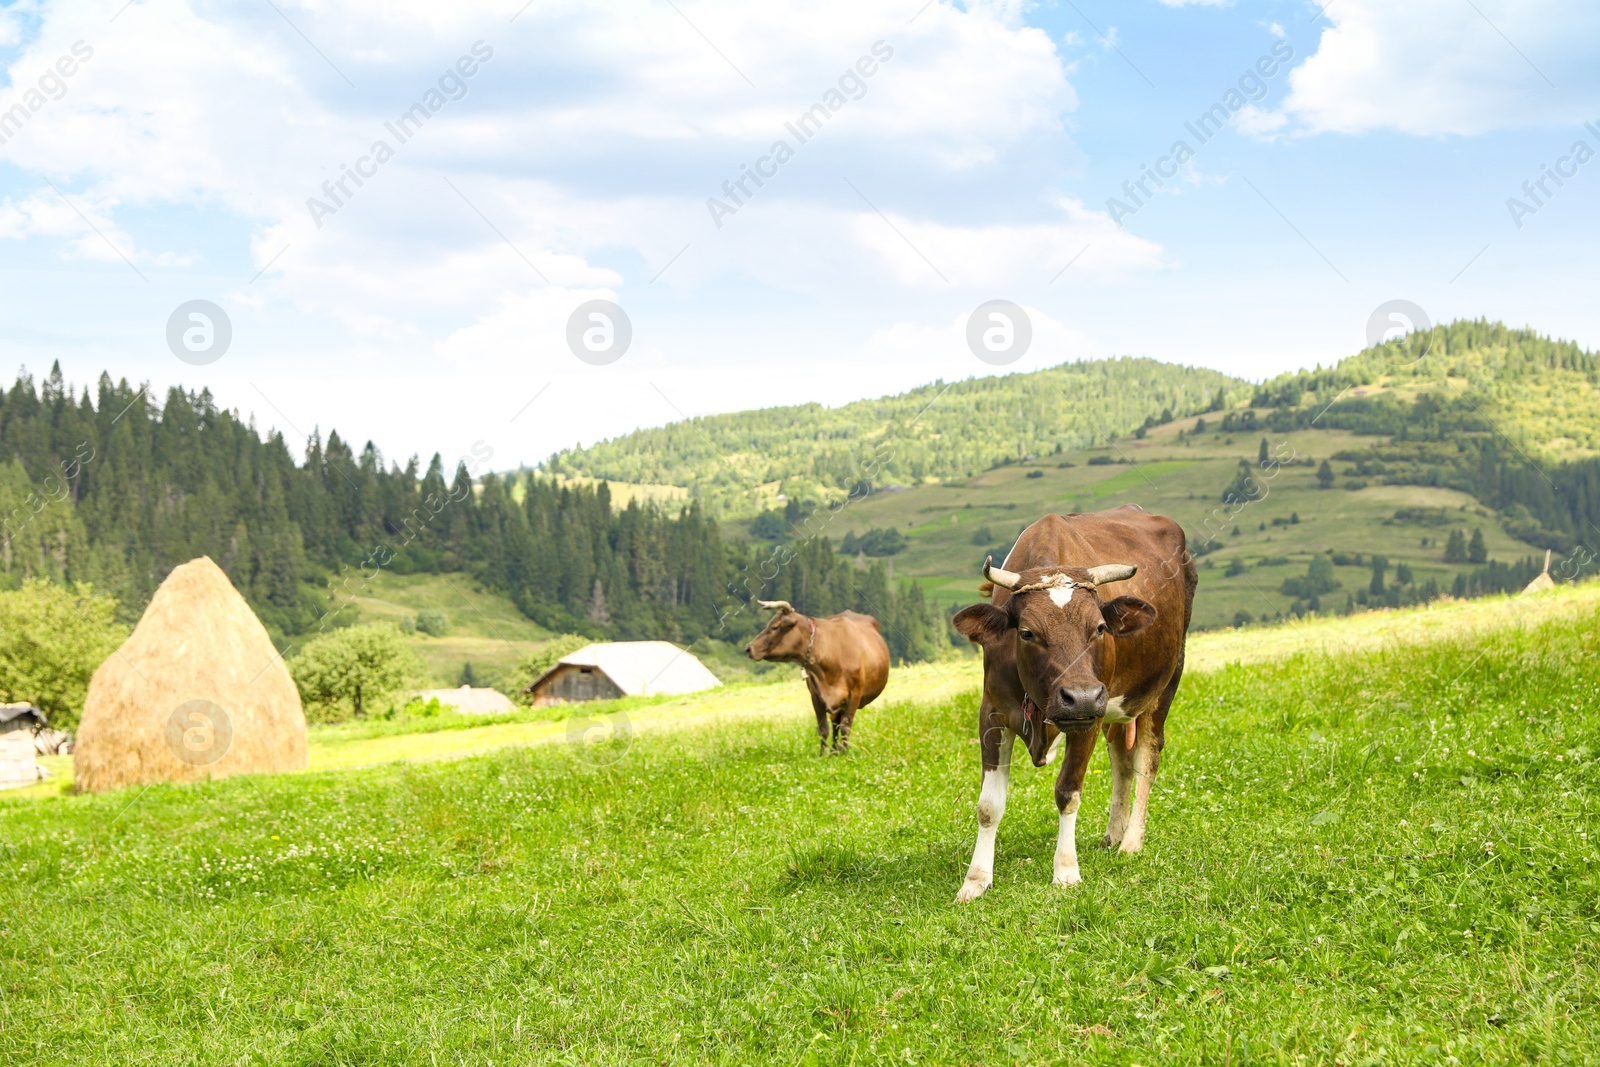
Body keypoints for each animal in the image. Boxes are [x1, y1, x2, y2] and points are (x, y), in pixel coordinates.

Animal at [745, 601, 896, 758]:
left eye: (774, 627)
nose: (748, 648)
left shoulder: (855, 693)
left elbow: (846, 726)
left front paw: (844, 753)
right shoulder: (816, 695)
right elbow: (823, 728)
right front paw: (823, 754)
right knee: (835, 723)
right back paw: (834, 751)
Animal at [947, 508, 1190, 902]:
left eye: (1101, 628)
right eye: (1027, 632)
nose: (1082, 696)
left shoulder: (1088, 719)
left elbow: (1068, 791)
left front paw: (1065, 871)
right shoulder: (993, 713)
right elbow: (989, 805)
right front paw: (976, 880)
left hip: (1163, 684)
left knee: (1146, 758)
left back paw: (1131, 842)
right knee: (1121, 760)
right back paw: (1113, 834)